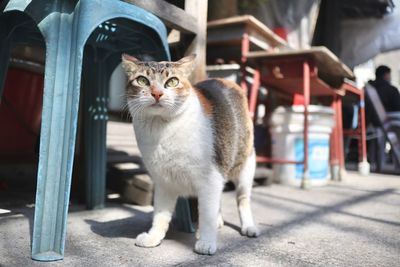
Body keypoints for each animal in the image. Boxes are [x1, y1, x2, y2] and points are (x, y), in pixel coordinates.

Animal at [122, 54, 260, 255]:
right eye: (142, 80)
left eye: (172, 82)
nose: (157, 93)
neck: (162, 130)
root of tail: (226, 81)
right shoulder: (164, 182)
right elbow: (160, 215)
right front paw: (153, 237)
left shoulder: (210, 178)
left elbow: (207, 215)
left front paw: (206, 242)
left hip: (244, 165)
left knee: (242, 199)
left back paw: (248, 226)